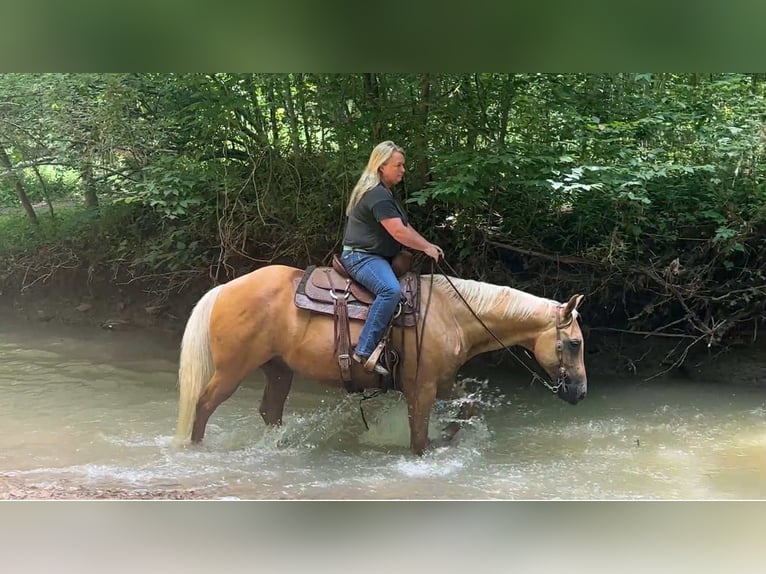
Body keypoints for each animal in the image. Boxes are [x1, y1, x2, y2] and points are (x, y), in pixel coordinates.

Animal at [174, 264, 588, 455]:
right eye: (574, 343)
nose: (580, 392)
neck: (451, 314)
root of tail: (225, 288)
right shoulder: (420, 388)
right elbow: (418, 439)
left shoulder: (443, 382)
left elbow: (467, 406)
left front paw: (449, 435)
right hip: (232, 369)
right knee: (204, 404)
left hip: (278, 370)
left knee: (270, 411)